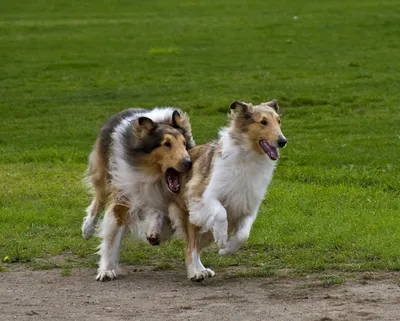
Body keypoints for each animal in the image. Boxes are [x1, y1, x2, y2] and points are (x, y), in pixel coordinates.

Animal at [81, 106, 194, 278]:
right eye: (167, 144)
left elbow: (161, 212)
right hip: (104, 176)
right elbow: (111, 236)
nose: (188, 163)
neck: (152, 176)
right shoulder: (123, 196)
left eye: (184, 143)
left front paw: (154, 231)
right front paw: (107, 270)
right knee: (98, 201)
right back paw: (87, 229)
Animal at [170, 99, 286, 278]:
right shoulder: (204, 194)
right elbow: (220, 212)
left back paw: (202, 270)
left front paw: (226, 250)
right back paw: (195, 273)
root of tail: (187, 151)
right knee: (190, 248)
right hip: (191, 215)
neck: (248, 159)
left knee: (196, 247)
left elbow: (243, 235)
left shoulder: (248, 207)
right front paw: (222, 236)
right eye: (263, 122)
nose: (283, 141)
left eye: (278, 121)